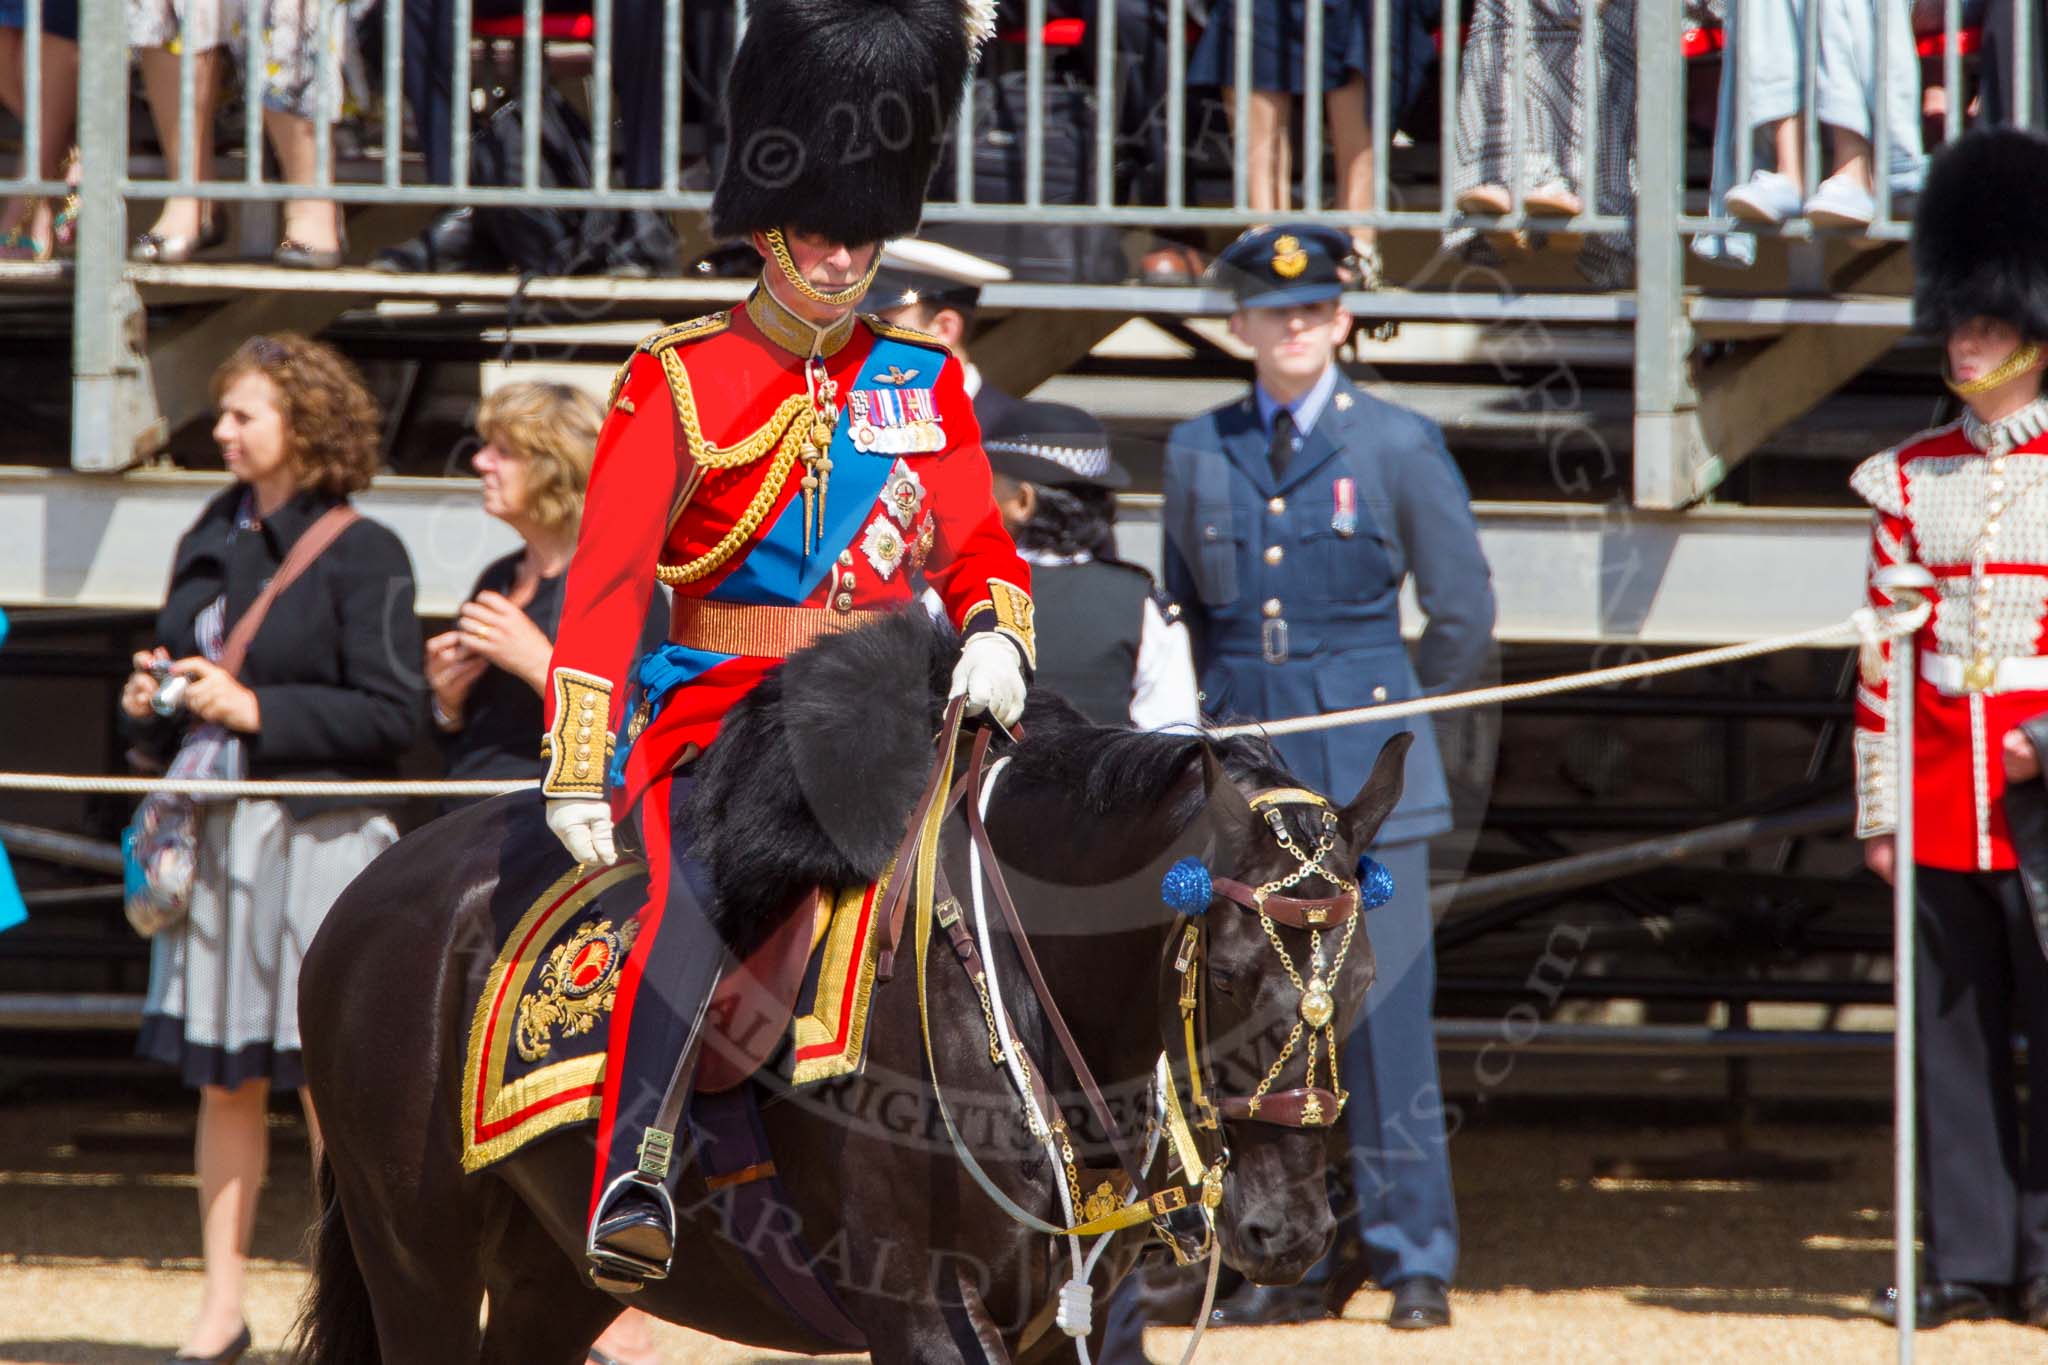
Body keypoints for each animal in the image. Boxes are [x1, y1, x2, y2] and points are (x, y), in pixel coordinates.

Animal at [288, 613, 1409, 1358]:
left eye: (1357, 979)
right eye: (1223, 972)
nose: (1288, 1233)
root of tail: (370, 893)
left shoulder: (1051, 1325)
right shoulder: (924, 1314)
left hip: (549, 1275)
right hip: (419, 1260)